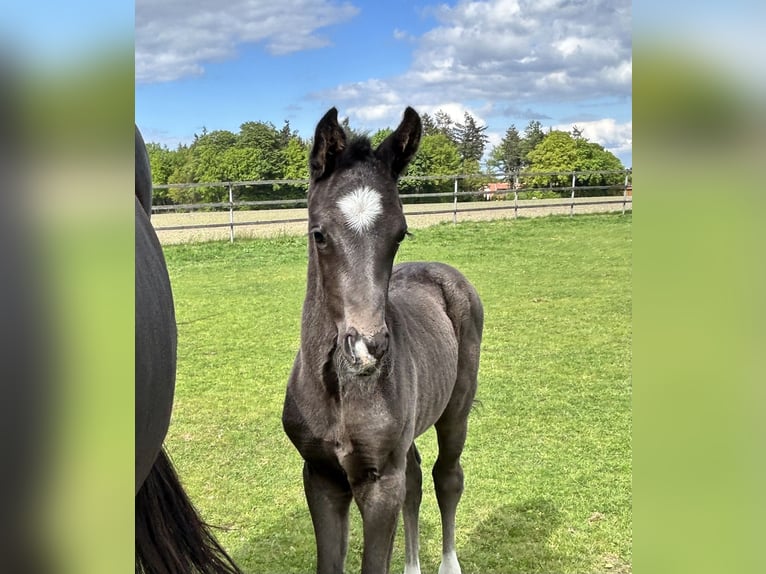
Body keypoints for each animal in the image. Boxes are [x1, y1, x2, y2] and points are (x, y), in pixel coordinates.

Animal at [282, 107, 484, 574]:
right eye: (319, 234)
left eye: (400, 233)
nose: (365, 348)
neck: (337, 392)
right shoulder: (320, 476)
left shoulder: (379, 483)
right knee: (415, 477)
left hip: (456, 409)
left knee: (447, 477)